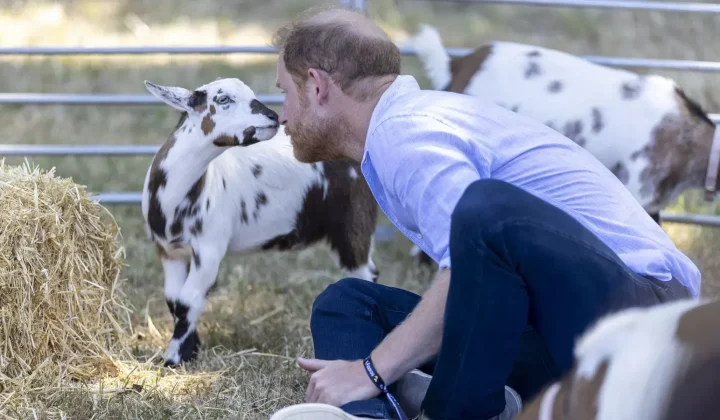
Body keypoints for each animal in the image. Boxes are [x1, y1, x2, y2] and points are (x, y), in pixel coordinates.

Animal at [141, 77, 379, 367]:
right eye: (223, 99)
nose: (273, 117)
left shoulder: (209, 250)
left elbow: (189, 301)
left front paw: (175, 358)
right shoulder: (168, 251)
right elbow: (174, 300)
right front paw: (190, 350)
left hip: (354, 223)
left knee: (365, 273)